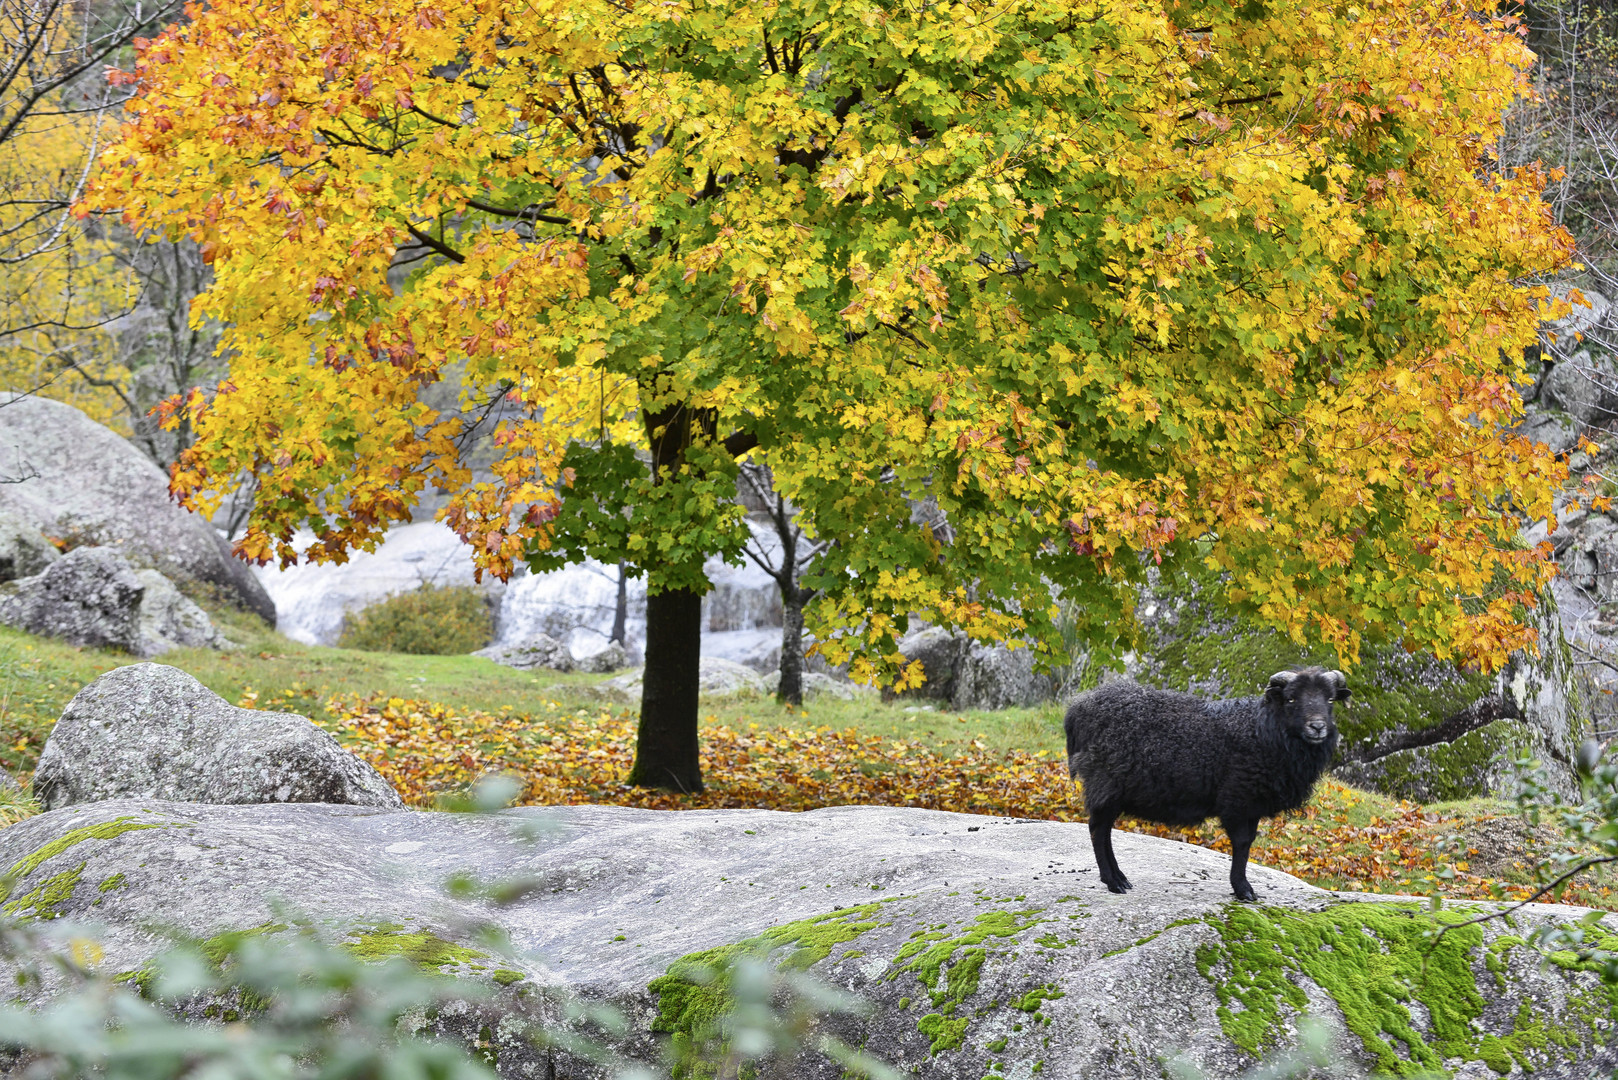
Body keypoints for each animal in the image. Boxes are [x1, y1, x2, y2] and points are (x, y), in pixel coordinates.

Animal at [1061, 667, 1352, 906]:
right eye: (1291, 699)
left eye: (1329, 700)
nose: (1317, 727)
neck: (1263, 730)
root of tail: (1080, 707)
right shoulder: (1238, 798)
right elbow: (1242, 843)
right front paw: (1243, 889)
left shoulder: (1252, 803)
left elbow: (1247, 843)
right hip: (1105, 780)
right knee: (1098, 829)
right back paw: (1112, 881)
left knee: (1105, 830)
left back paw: (1120, 878)